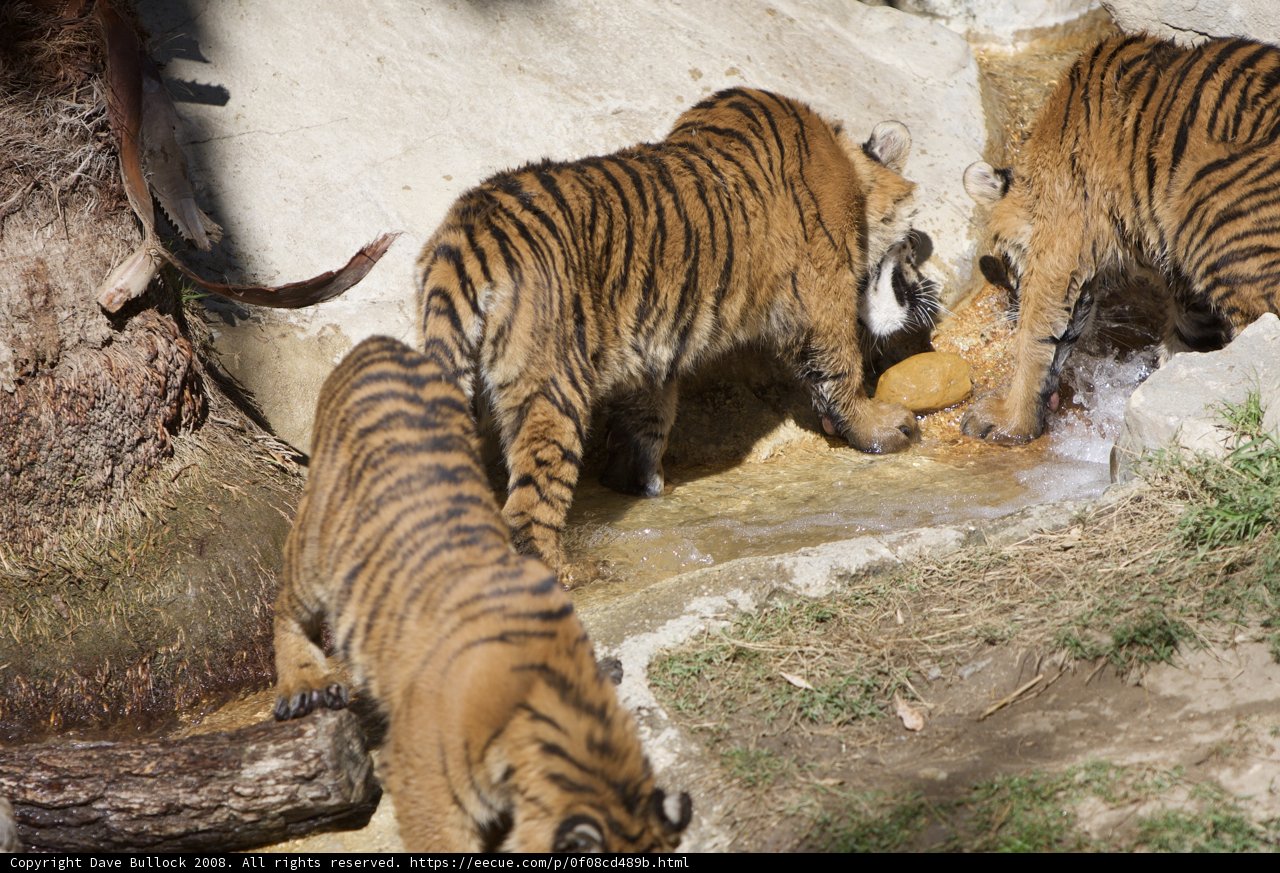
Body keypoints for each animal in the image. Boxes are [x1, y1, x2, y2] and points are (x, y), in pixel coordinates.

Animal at [416, 87, 935, 572]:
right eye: (910, 248)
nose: (927, 293)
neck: (850, 170)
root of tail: (468, 234)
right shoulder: (822, 297)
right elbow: (841, 369)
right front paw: (882, 427)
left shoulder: (649, 346)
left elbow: (650, 413)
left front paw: (636, 479)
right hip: (553, 387)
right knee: (530, 507)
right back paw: (569, 573)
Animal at [961, 33, 1280, 445]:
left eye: (1008, 264)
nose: (1008, 304)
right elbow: (1187, 339)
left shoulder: (1060, 246)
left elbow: (1035, 335)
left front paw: (1007, 420)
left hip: (1212, 212)